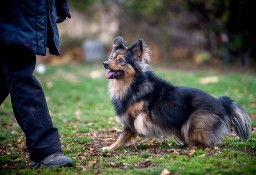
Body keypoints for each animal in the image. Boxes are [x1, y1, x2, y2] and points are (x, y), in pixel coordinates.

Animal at [101, 35, 250, 150]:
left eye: (120, 60)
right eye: (111, 57)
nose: (105, 63)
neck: (131, 84)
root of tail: (221, 102)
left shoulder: (135, 118)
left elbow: (127, 132)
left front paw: (110, 148)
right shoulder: (128, 122)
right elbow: (122, 136)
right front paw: (110, 148)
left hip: (194, 124)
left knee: (204, 143)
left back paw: (191, 147)